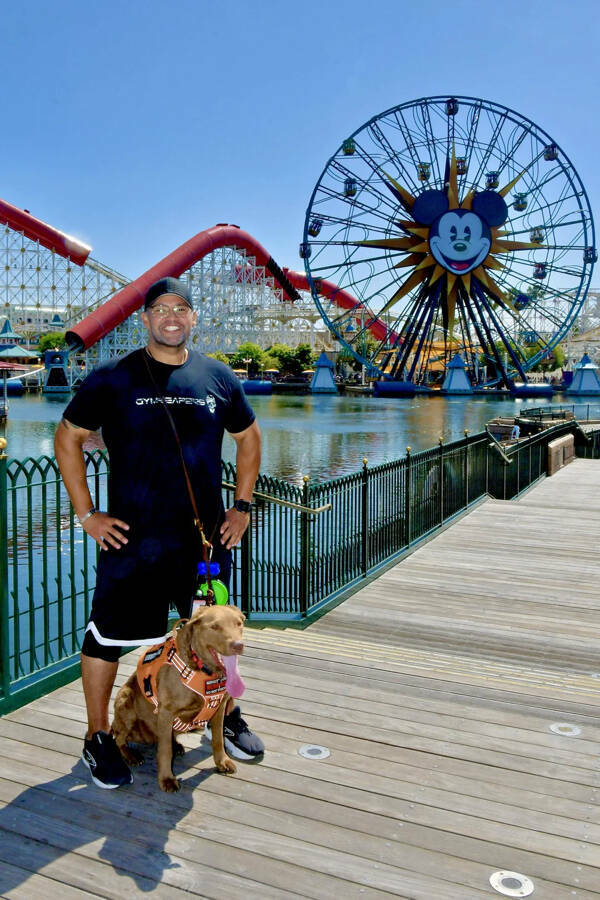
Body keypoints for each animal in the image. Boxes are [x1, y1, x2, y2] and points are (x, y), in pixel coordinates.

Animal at [111, 608, 245, 792]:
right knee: (119, 739)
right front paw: (167, 779)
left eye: (239, 623)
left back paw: (177, 746)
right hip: (125, 702)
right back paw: (131, 756)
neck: (204, 670)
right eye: (215, 626)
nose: (238, 645)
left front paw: (222, 762)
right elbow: (165, 750)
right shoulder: (166, 712)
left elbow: (218, 739)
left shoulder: (219, 708)